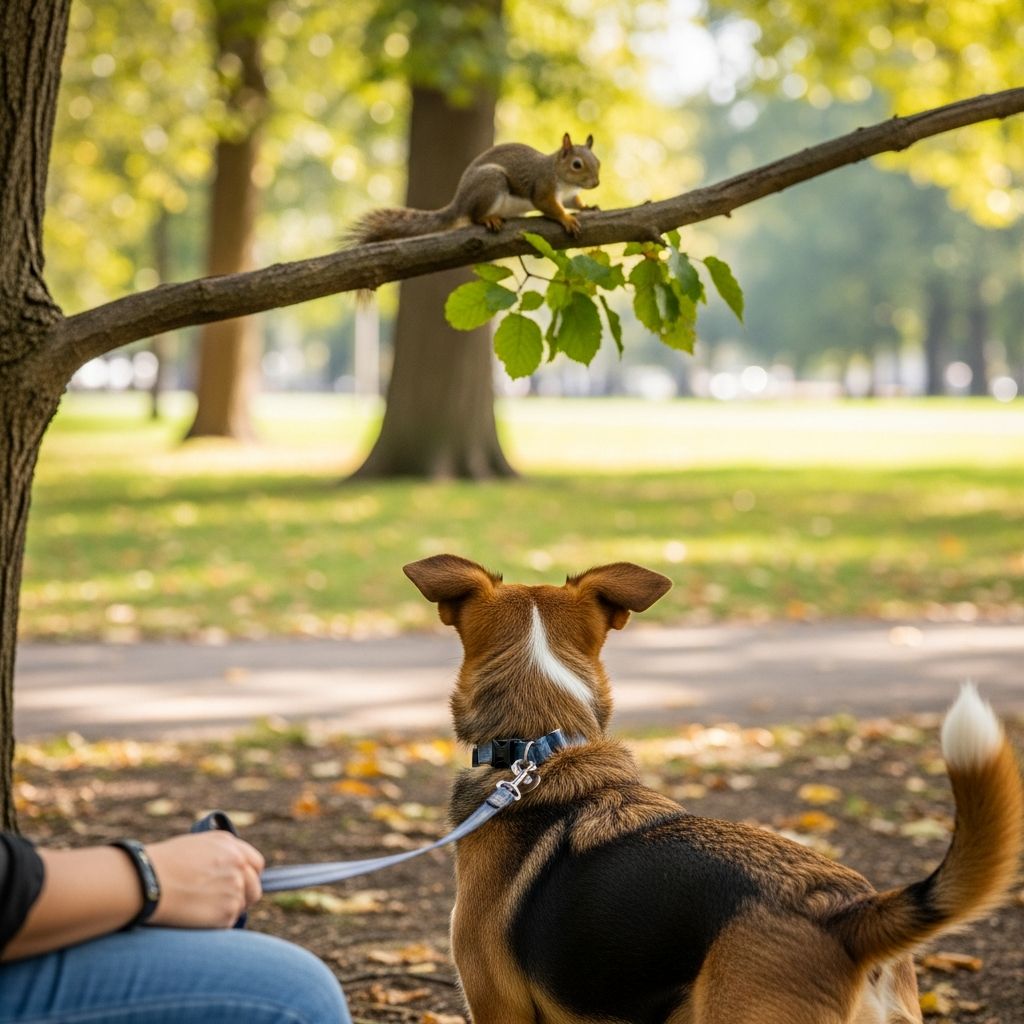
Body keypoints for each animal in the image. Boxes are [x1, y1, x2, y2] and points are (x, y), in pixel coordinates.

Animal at [350, 132, 600, 244]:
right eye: (577, 165)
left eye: (597, 161)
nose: (596, 183)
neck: (564, 180)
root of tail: (460, 200)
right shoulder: (543, 187)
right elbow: (548, 205)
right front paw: (566, 218)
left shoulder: (567, 196)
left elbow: (573, 202)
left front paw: (587, 207)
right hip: (491, 183)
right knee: (472, 216)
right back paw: (487, 218)